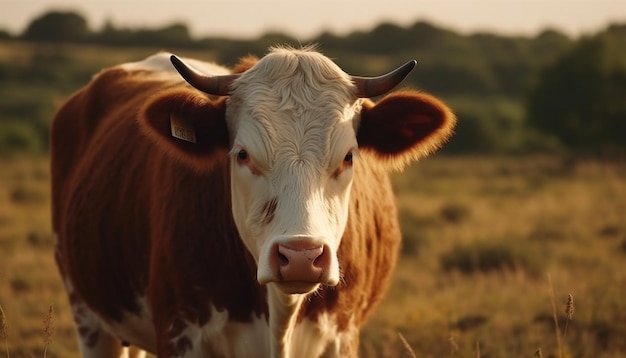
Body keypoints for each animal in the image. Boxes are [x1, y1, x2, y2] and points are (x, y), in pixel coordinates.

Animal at [50, 45, 454, 358]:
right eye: (242, 154)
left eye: (348, 156)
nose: (301, 257)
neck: (280, 316)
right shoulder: (180, 334)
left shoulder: (342, 337)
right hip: (87, 314)